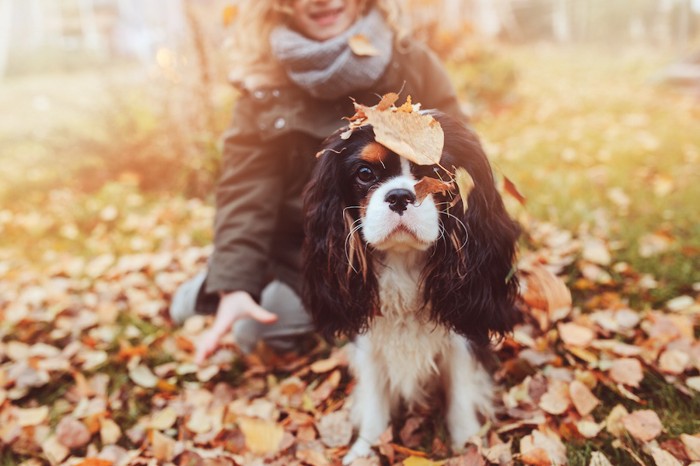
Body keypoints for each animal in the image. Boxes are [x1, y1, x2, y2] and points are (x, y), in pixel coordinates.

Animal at [300, 109, 520, 462]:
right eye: (365, 173)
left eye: (436, 171)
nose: (401, 196)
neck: (403, 264)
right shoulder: (369, 342)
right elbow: (374, 402)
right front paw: (365, 450)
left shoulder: (461, 339)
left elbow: (461, 395)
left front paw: (467, 446)